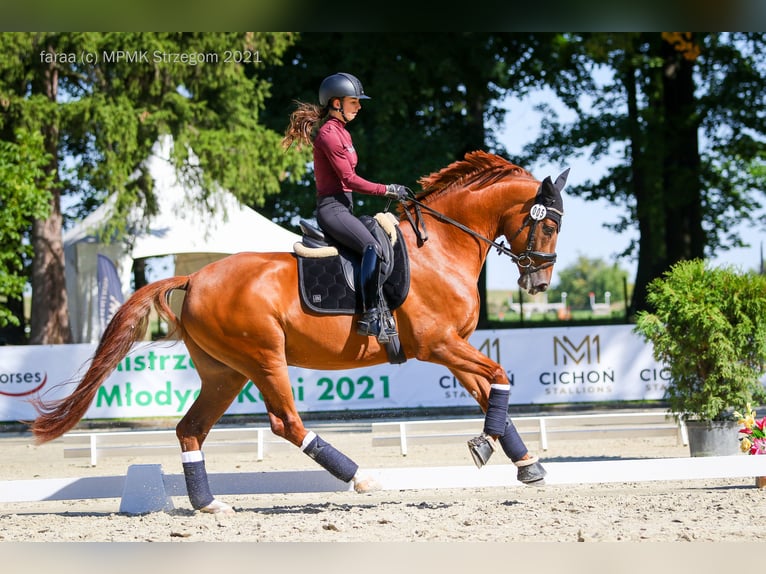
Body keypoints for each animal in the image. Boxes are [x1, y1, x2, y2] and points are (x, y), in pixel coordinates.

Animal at [33, 151, 568, 516]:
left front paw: (525, 463)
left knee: (190, 429)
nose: (539, 283)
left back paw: (209, 505)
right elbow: (499, 377)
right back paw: (362, 478)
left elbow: (490, 389)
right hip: (263, 357)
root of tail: (194, 277)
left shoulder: (454, 347)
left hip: (224, 372)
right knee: (286, 422)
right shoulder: (438, 345)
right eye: (548, 227)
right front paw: (488, 448)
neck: (439, 247)